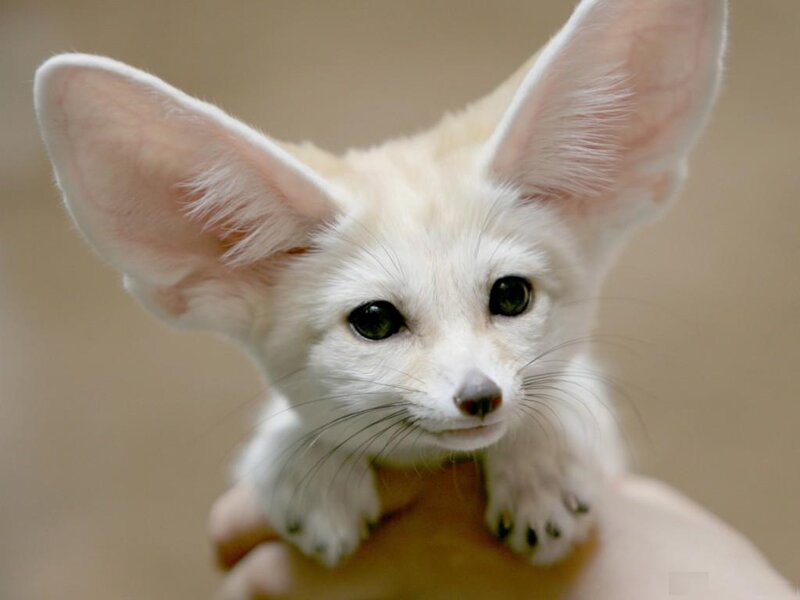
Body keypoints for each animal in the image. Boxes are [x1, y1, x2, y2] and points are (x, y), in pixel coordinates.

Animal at [34, 0, 727, 568]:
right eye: (374, 320)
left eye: (511, 295)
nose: (481, 397)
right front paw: (307, 466)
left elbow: (565, 391)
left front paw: (541, 466)